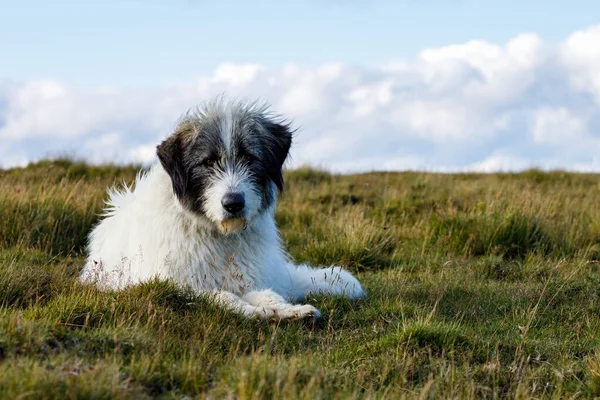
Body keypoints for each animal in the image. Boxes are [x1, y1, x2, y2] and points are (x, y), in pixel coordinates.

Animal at [78, 97, 366, 322]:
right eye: (208, 162)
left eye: (249, 158)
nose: (234, 203)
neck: (219, 235)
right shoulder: (178, 284)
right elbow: (224, 297)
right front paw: (256, 312)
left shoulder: (249, 277)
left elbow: (267, 295)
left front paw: (287, 311)